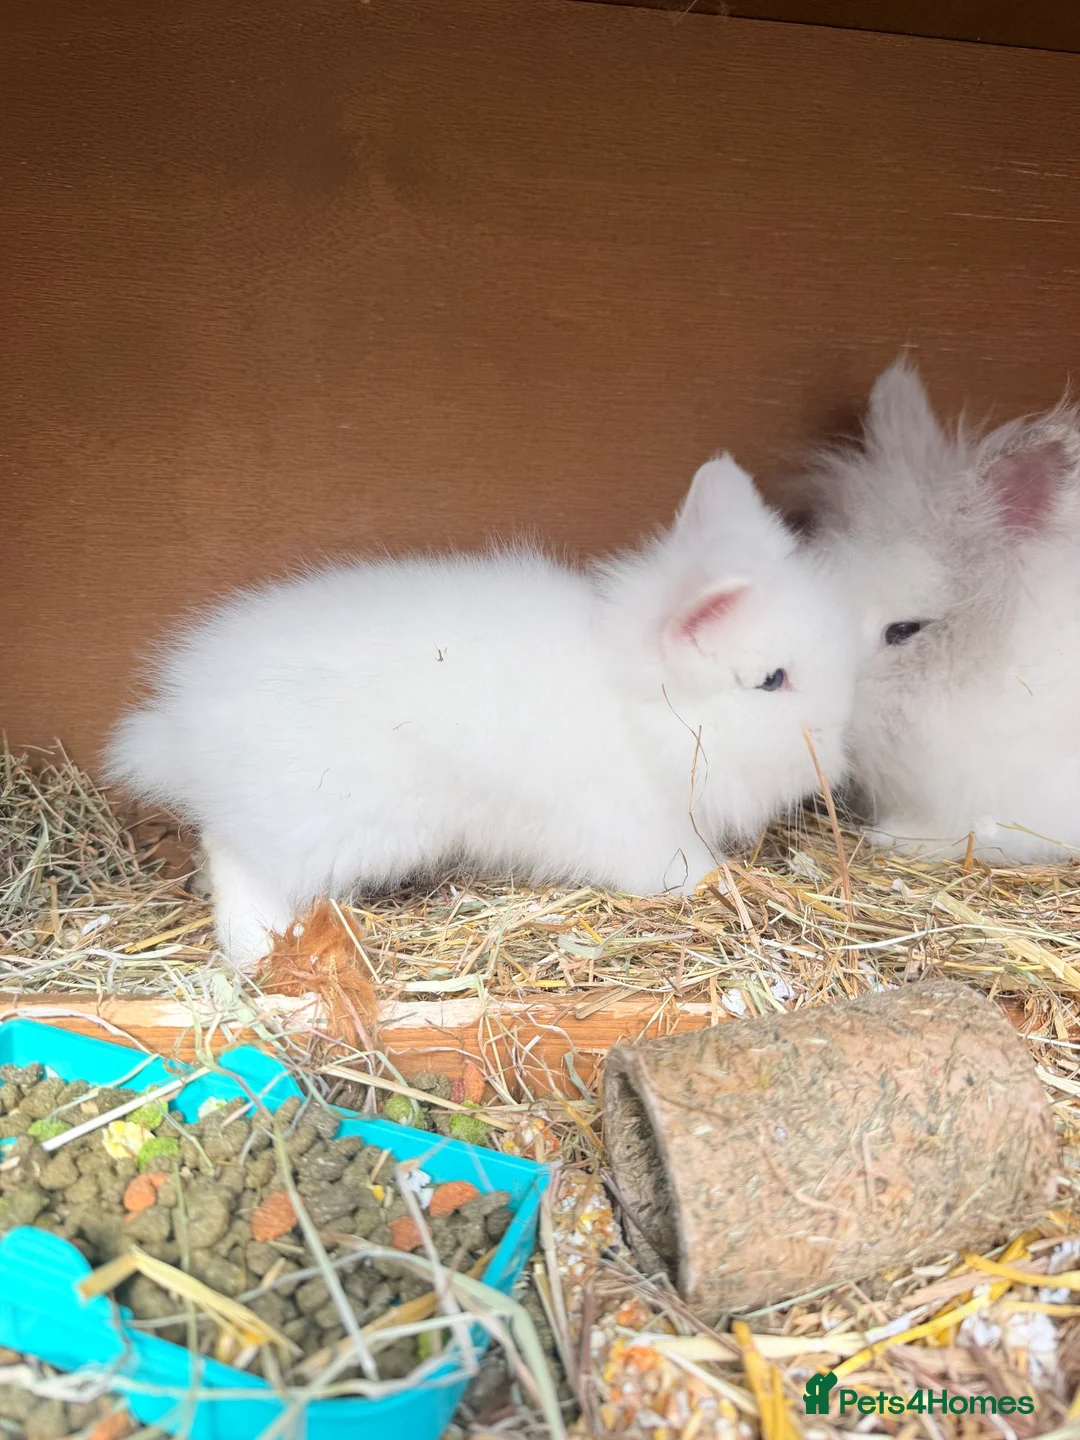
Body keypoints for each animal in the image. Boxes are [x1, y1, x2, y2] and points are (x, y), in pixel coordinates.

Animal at [104, 454, 857, 969]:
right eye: (772, 680)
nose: (836, 748)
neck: (638, 710)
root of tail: (178, 726)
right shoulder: (635, 831)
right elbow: (681, 869)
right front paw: (725, 882)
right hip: (331, 822)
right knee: (239, 862)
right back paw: (254, 950)